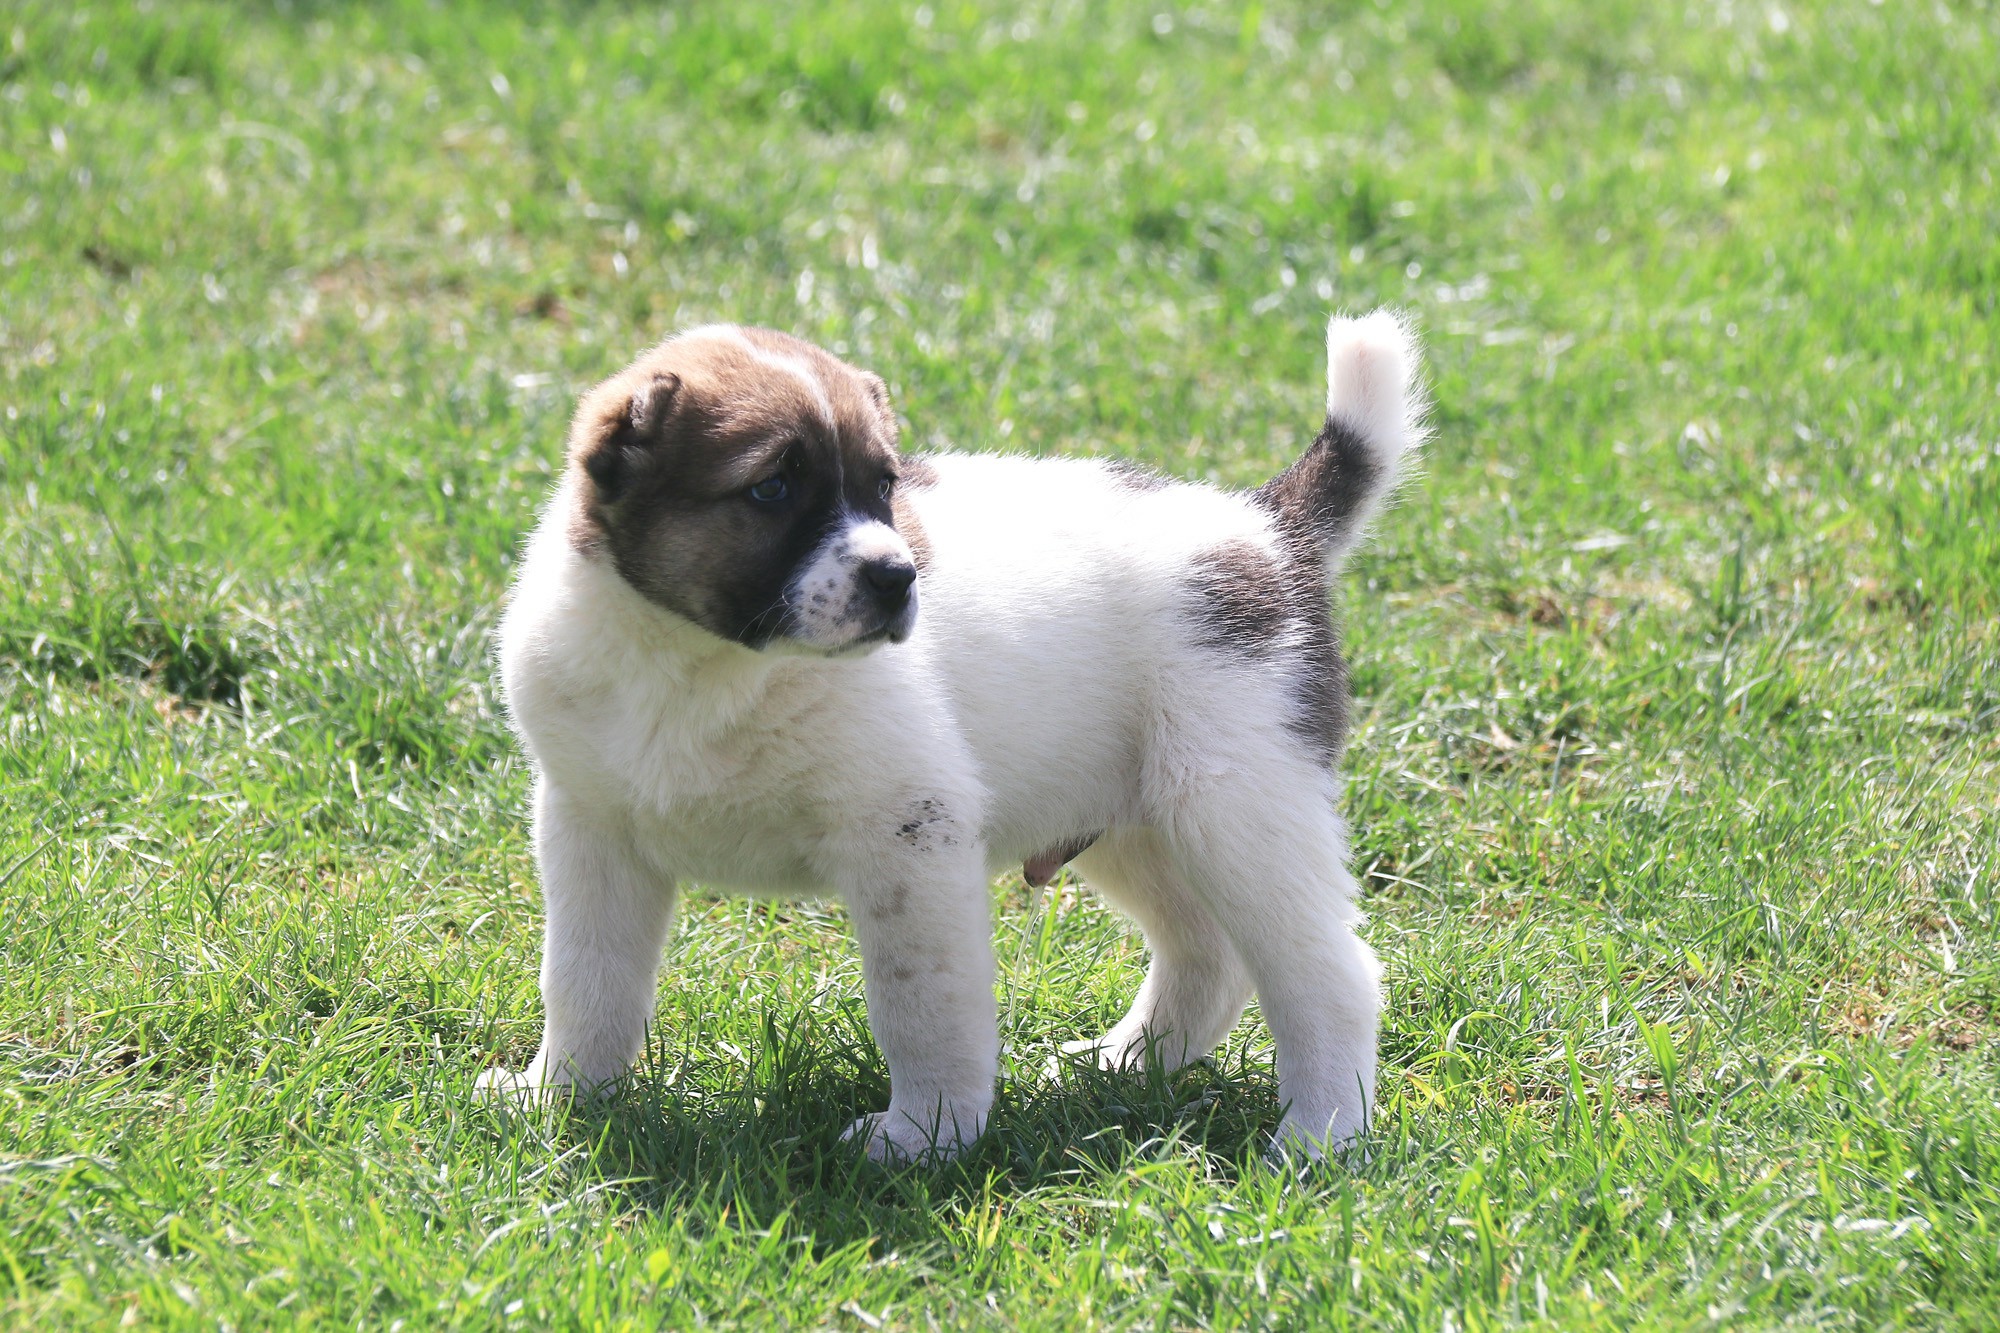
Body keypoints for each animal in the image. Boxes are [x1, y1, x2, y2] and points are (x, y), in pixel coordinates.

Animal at [480, 316, 1424, 1160]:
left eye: (882, 484)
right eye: (772, 488)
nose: (899, 577)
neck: (702, 664)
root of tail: (1268, 528)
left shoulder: (909, 833)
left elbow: (921, 1003)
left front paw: (923, 1135)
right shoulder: (590, 828)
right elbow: (586, 977)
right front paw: (562, 1098)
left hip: (1237, 805)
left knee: (1329, 974)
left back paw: (1321, 1135)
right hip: (1137, 822)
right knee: (1208, 954)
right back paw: (1124, 1064)